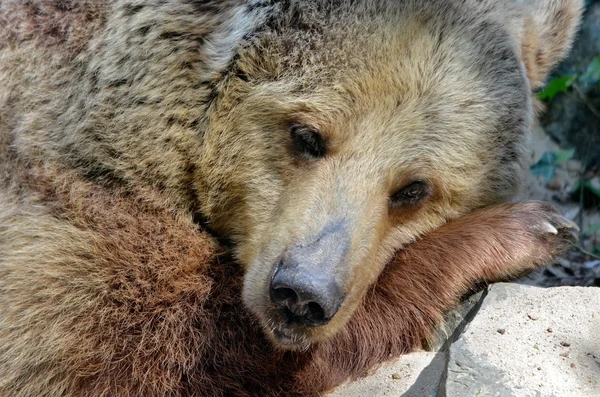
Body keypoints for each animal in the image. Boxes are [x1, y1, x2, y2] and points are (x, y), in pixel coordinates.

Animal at [0, 0, 580, 396]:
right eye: (307, 135)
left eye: (414, 188)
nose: (301, 294)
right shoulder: (57, 188)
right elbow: (141, 346)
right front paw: (523, 230)